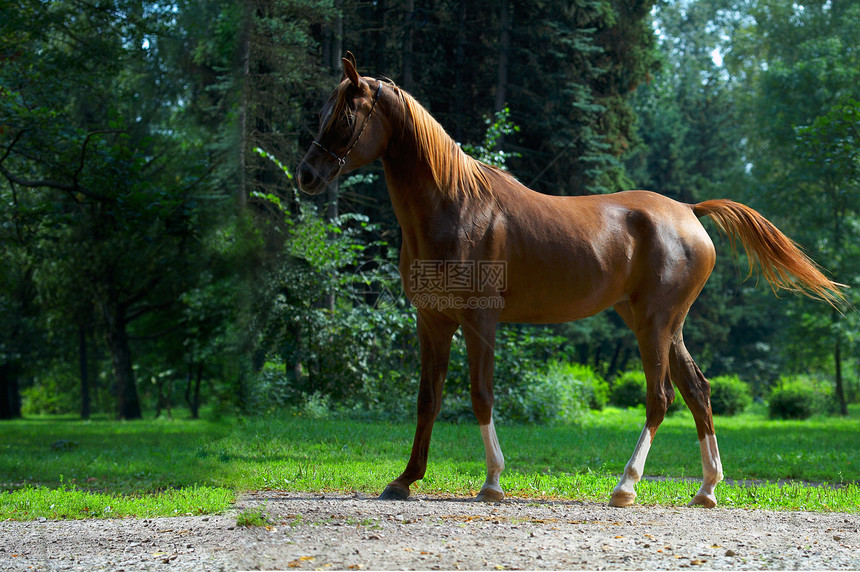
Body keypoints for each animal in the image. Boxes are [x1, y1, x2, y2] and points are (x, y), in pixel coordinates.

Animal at [296, 55, 840, 508]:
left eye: (344, 117)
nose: (306, 175)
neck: (455, 207)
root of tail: (688, 211)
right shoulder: (432, 321)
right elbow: (427, 400)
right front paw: (405, 480)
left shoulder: (479, 321)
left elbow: (480, 393)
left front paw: (492, 482)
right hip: (664, 326)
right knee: (698, 392)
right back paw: (705, 490)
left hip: (653, 324)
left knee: (660, 398)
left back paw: (625, 487)